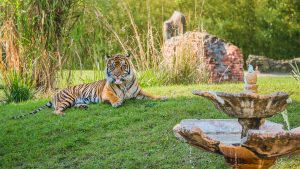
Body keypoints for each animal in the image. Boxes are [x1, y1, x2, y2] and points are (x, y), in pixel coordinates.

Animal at [12, 53, 168, 119]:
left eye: (122, 66)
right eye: (113, 66)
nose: (116, 75)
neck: (123, 83)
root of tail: (55, 94)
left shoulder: (138, 92)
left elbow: (151, 95)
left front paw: (163, 97)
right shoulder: (106, 92)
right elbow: (113, 96)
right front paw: (117, 102)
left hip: (72, 101)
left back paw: (83, 106)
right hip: (67, 98)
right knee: (56, 110)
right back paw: (62, 114)